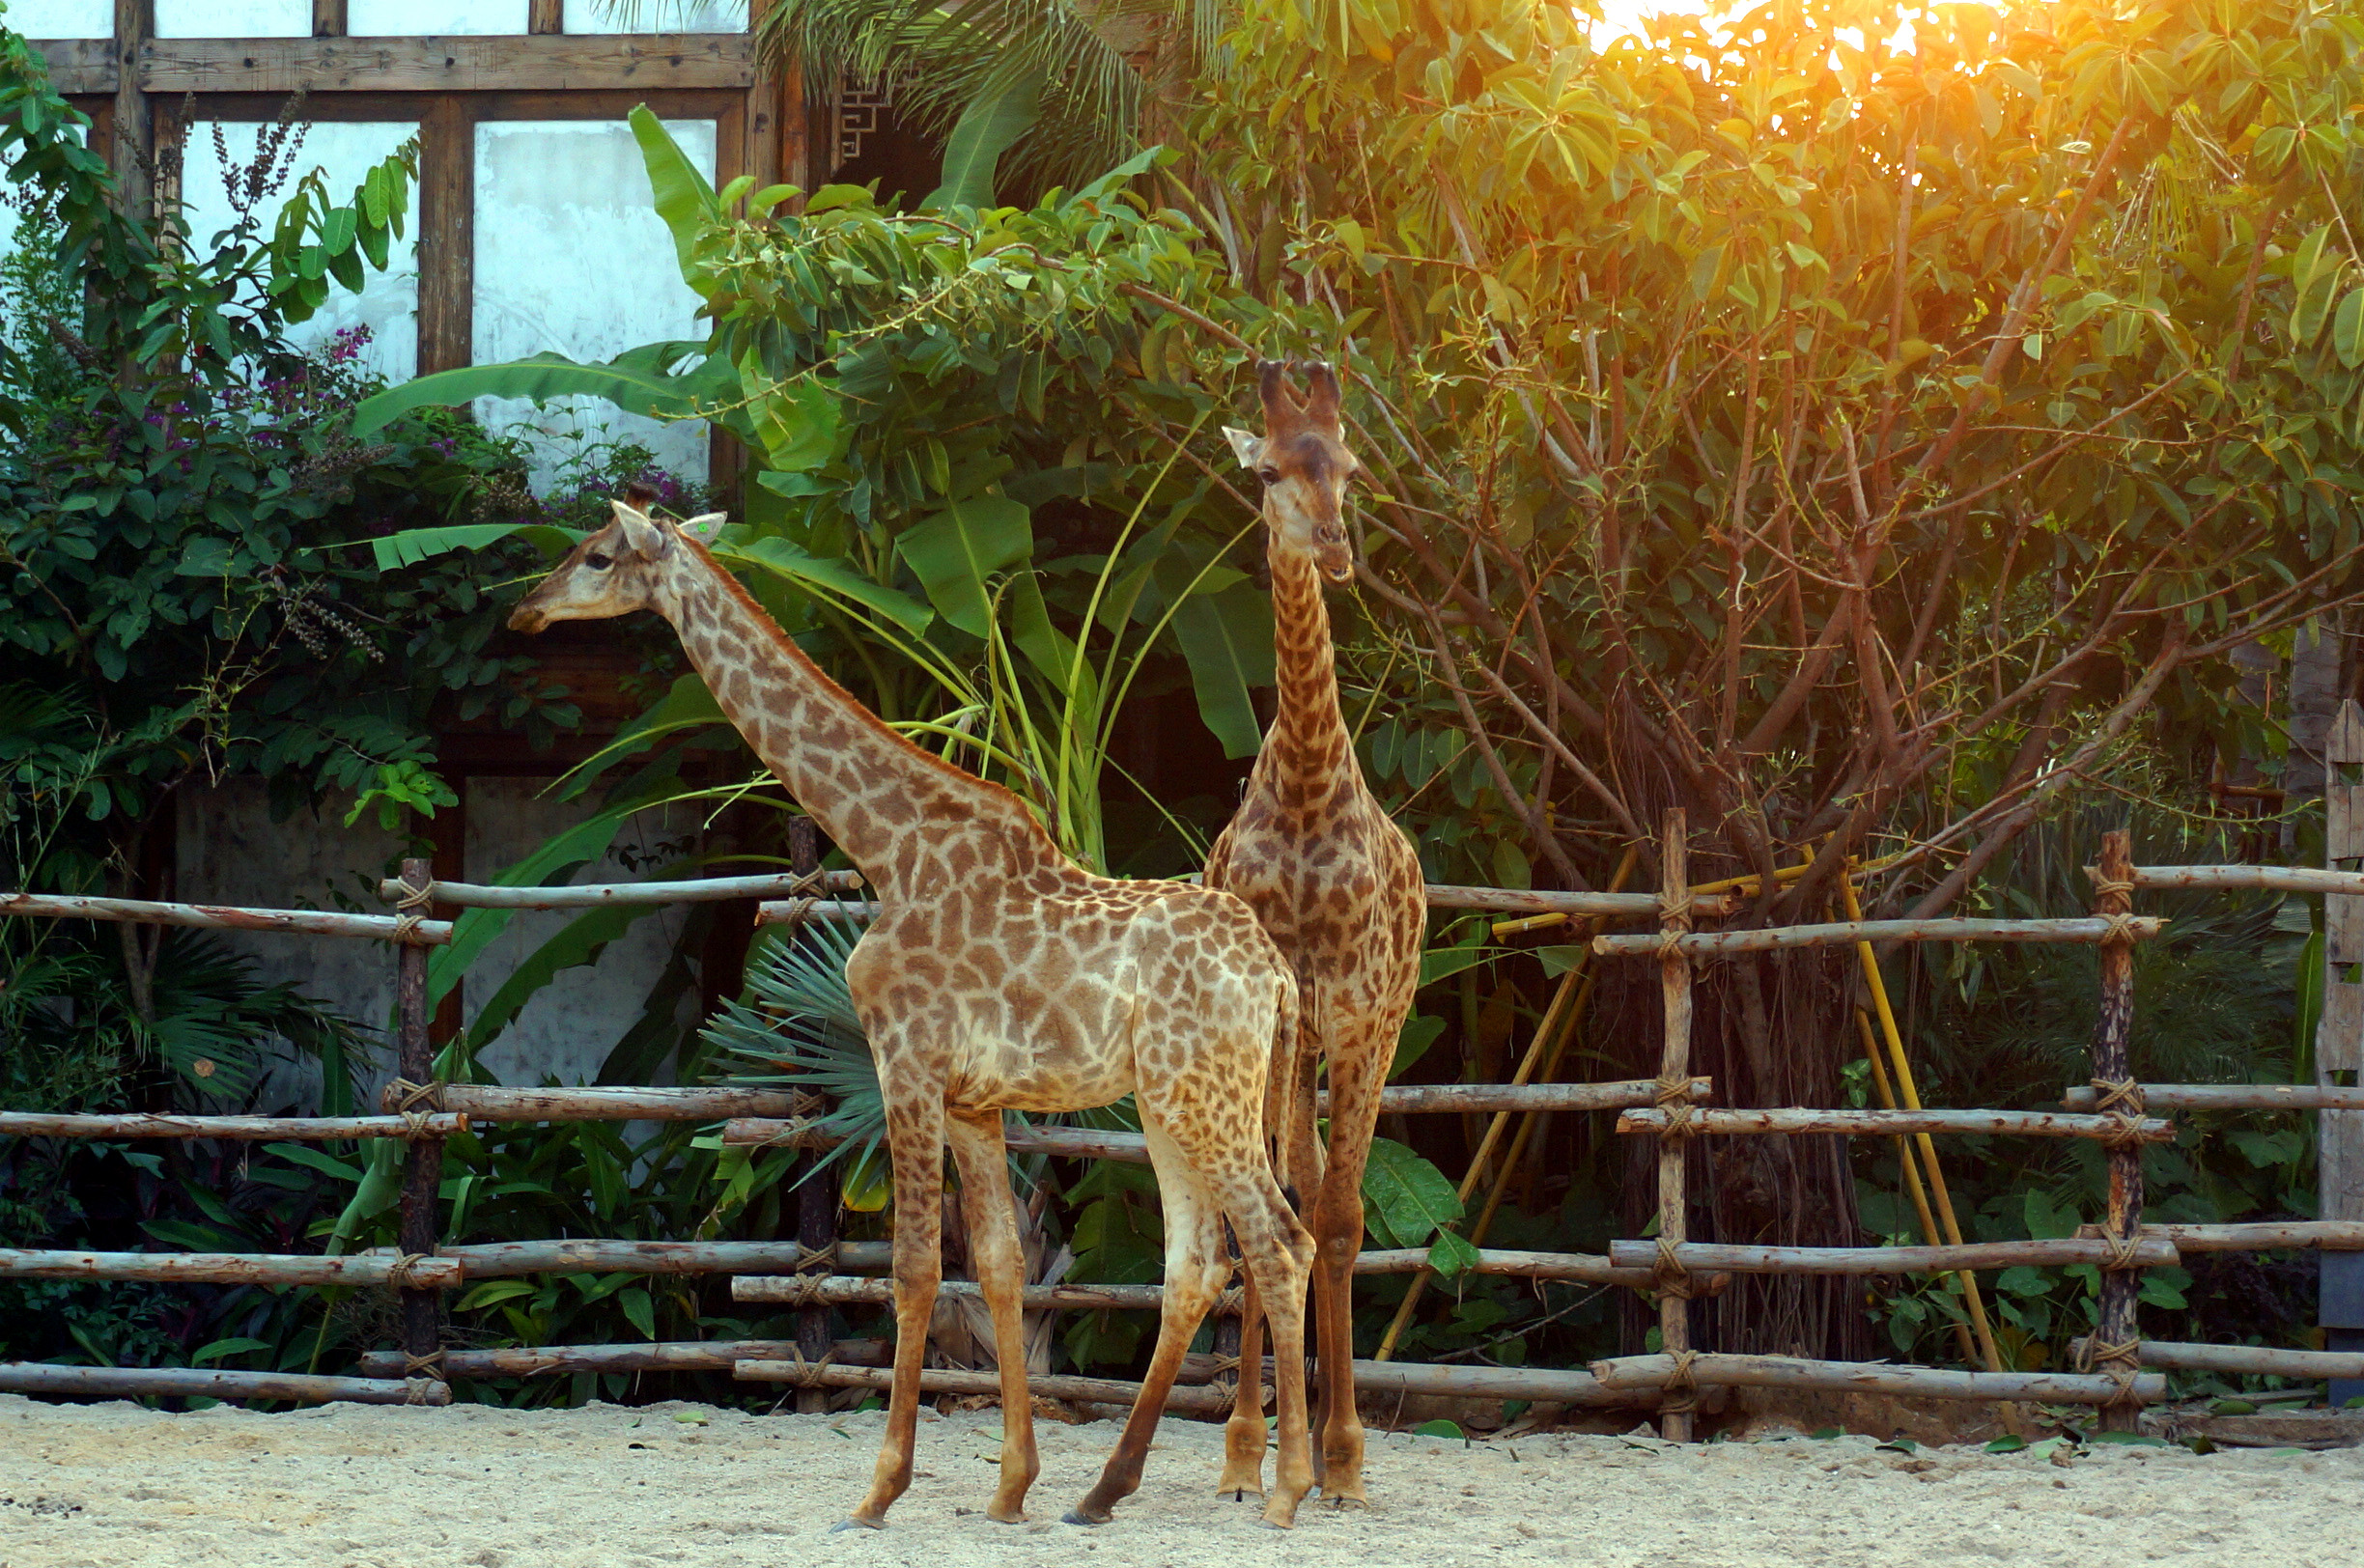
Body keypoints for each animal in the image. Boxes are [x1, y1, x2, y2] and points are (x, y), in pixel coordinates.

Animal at [510, 498, 1323, 1532]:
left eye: (596, 555)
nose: (528, 612)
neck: (887, 849)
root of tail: (1277, 975)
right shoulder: (975, 1100)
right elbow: (1000, 1266)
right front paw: (1012, 1487)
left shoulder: (906, 1062)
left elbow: (912, 1270)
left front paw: (878, 1491)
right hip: (1172, 1100)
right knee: (1199, 1262)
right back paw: (1102, 1492)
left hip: (1203, 1097)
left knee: (1279, 1245)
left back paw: (1286, 1491)